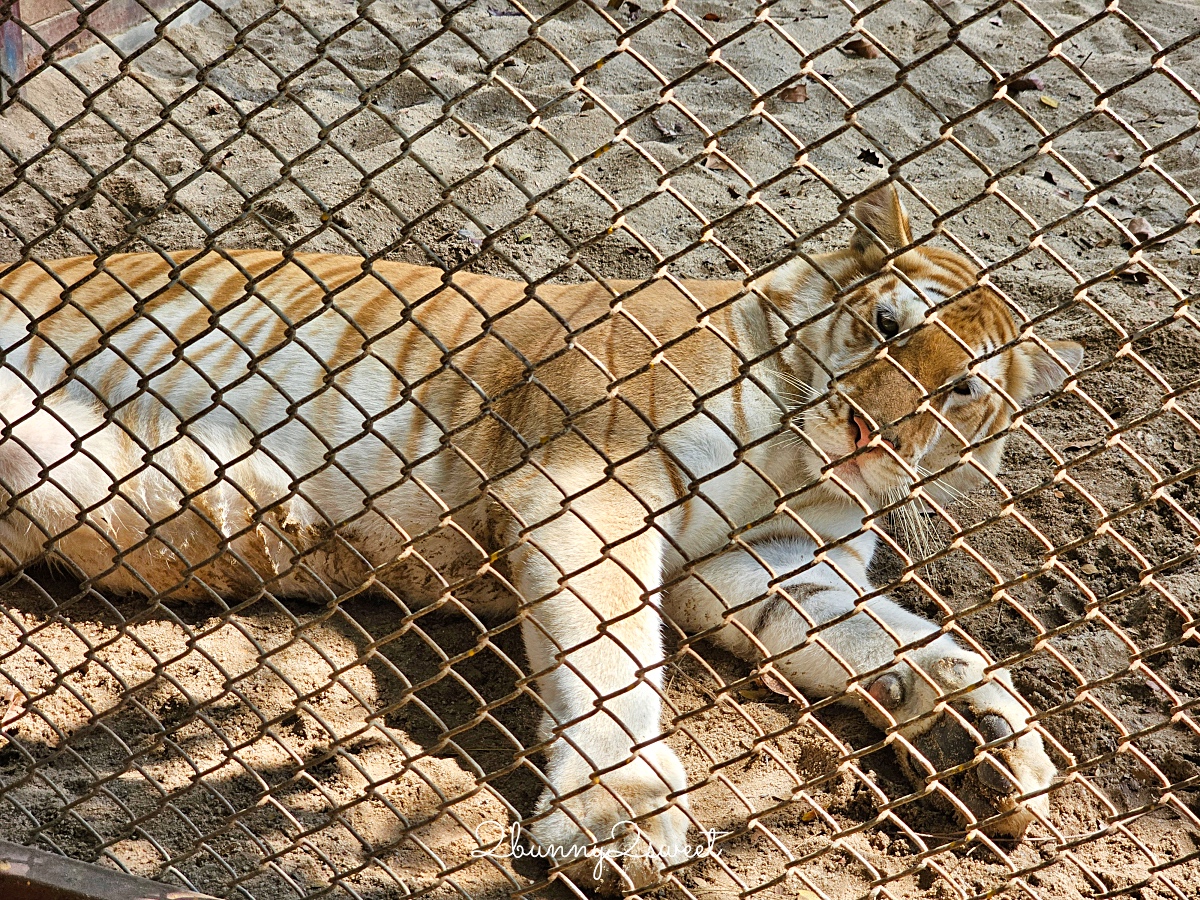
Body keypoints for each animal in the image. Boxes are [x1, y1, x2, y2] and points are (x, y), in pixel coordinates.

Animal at [0, 187, 1080, 892]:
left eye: (963, 389)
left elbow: (901, 641)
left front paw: (983, 741)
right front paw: (619, 817)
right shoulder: (587, 482)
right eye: (886, 323)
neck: (795, 461)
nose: (873, 438)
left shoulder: (762, 568)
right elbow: (609, 659)